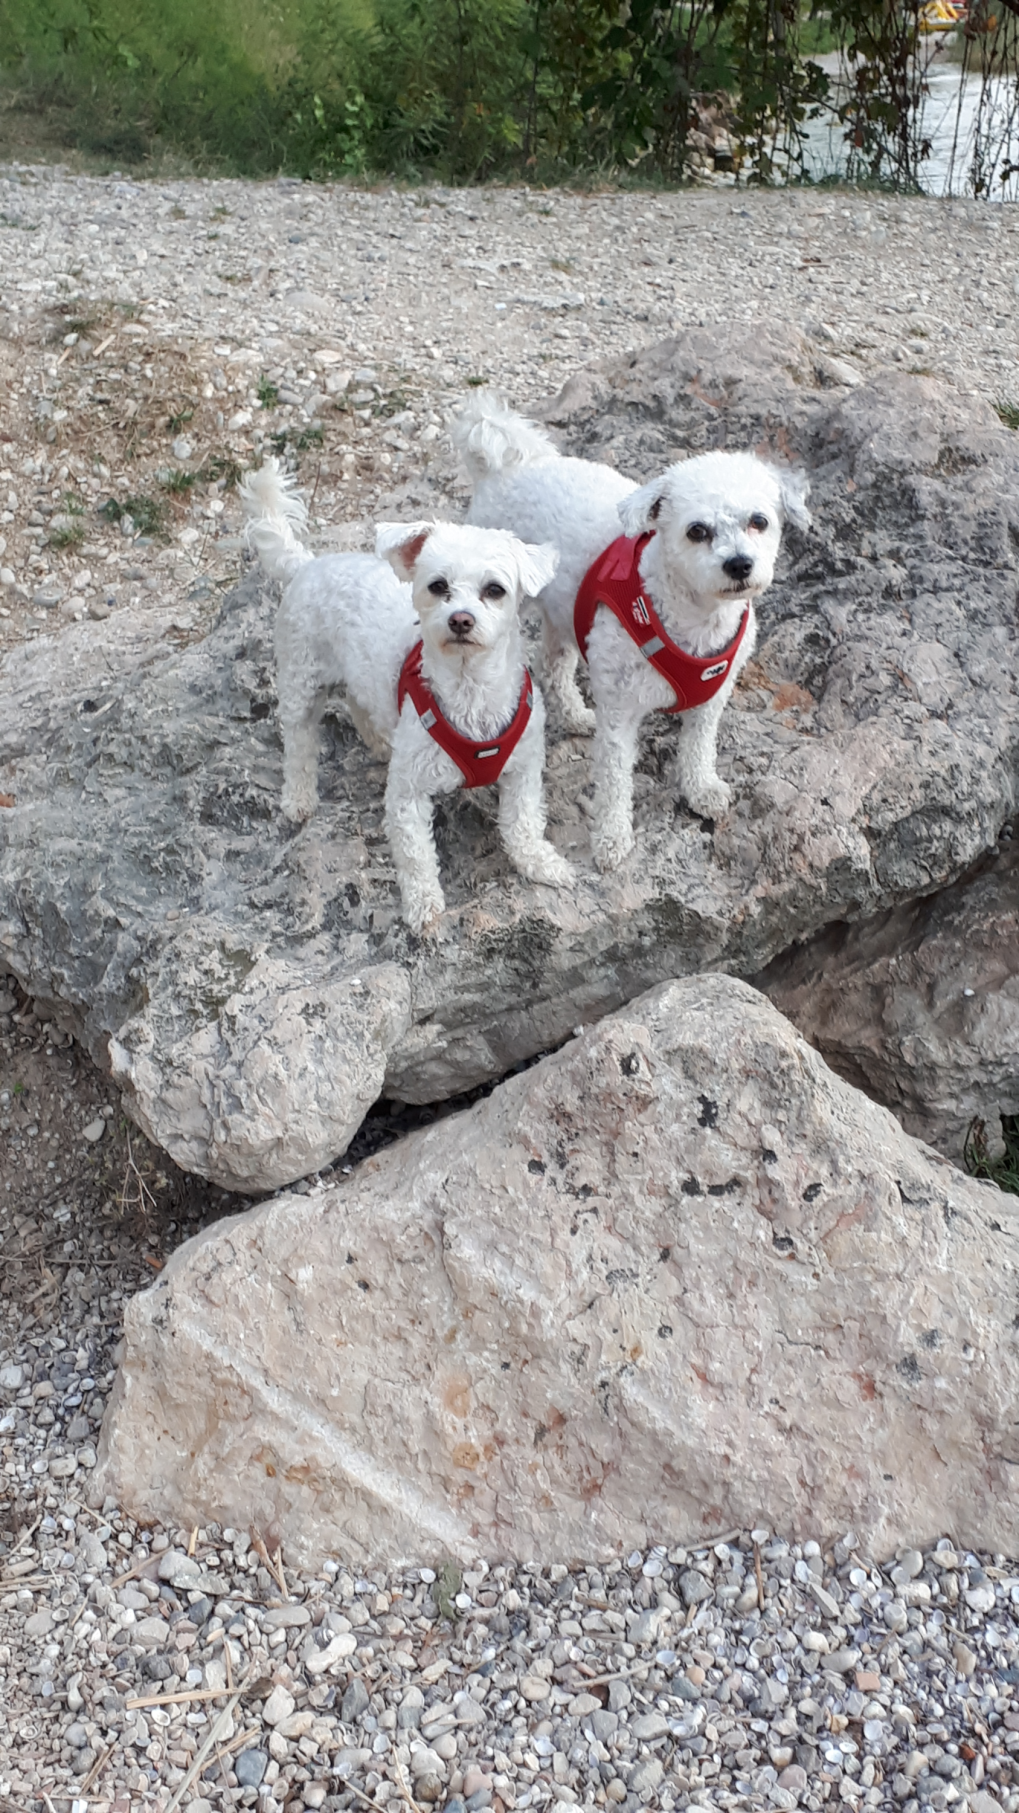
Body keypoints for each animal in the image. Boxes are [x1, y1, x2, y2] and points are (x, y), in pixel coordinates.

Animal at [240, 459, 574, 933]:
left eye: (495, 589)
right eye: (438, 586)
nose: (460, 619)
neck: (469, 690)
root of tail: (308, 564)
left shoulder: (524, 766)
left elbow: (524, 822)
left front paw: (541, 863)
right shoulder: (408, 793)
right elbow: (416, 856)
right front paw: (423, 906)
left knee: (360, 703)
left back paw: (381, 742)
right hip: (301, 679)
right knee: (299, 742)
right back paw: (299, 799)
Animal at [454, 393, 811, 872]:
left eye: (759, 521)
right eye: (697, 530)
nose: (739, 563)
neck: (691, 615)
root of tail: (502, 469)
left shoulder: (711, 700)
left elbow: (699, 746)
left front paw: (701, 788)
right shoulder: (620, 715)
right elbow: (614, 781)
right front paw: (612, 838)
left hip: (562, 611)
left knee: (554, 663)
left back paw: (574, 714)